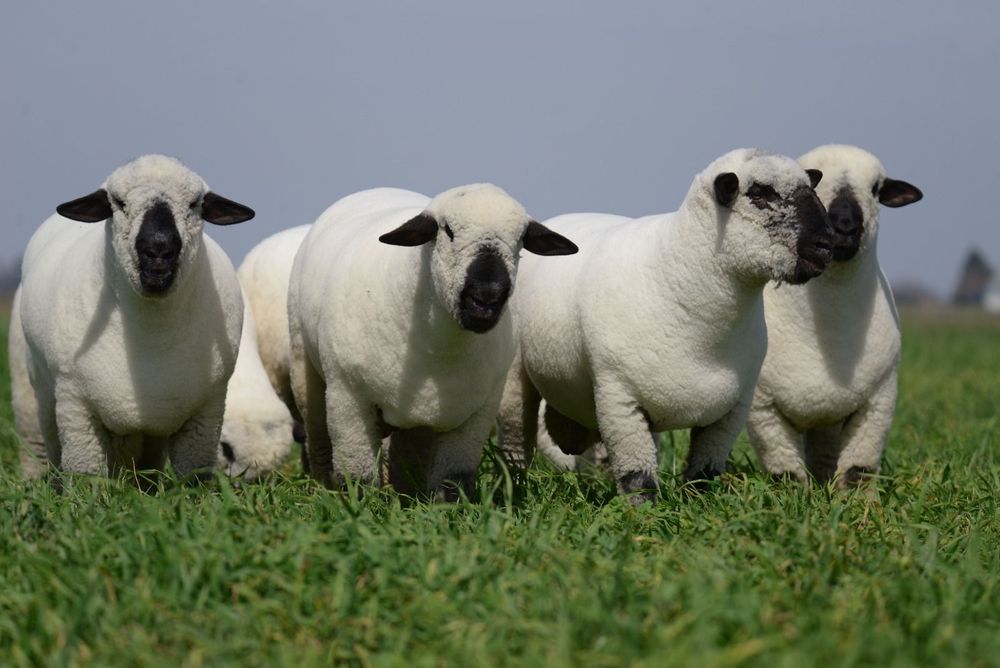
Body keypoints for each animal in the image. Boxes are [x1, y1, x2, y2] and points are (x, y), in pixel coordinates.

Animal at [16, 154, 255, 480]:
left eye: (195, 203)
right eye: (117, 202)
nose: (159, 249)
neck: (152, 334)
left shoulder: (207, 413)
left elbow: (193, 480)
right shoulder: (76, 408)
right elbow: (85, 479)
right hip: (37, 395)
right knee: (42, 448)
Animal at [287, 185, 577, 499]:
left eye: (521, 238)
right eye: (447, 230)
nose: (486, 298)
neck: (442, 349)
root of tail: (378, 189)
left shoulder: (477, 413)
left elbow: (453, 481)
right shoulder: (348, 399)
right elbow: (359, 477)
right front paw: (361, 505)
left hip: (420, 420)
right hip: (305, 367)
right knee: (318, 436)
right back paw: (323, 486)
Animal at [496, 149, 834, 503]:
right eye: (759, 194)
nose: (826, 244)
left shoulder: (731, 411)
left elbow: (703, 474)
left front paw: (698, 504)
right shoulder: (620, 400)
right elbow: (638, 478)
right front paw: (644, 514)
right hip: (515, 381)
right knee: (515, 445)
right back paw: (512, 490)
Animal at [746, 145, 922, 487]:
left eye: (876, 189)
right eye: (812, 186)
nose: (844, 224)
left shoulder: (878, 401)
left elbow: (858, 470)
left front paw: (857, 501)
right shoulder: (763, 408)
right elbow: (786, 473)